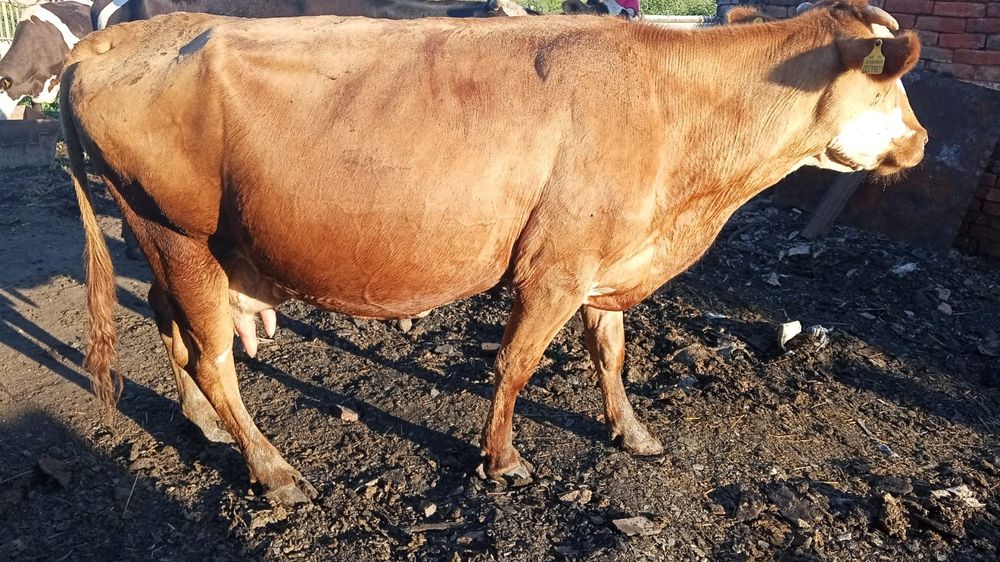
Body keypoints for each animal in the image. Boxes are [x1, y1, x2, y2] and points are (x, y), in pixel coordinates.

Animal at [62, 0, 926, 504]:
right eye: (889, 86)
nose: (919, 141)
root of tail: (114, 38)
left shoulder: (601, 259)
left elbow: (610, 353)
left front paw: (632, 432)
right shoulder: (554, 269)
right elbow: (516, 365)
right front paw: (502, 458)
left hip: (172, 244)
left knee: (170, 328)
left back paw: (203, 425)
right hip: (177, 236)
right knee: (211, 355)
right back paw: (271, 469)